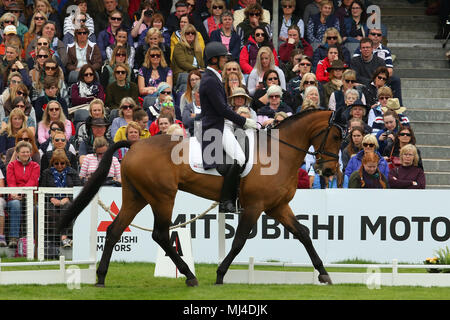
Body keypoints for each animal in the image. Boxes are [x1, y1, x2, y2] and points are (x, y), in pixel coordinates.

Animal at [57, 109, 344, 286]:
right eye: (336, 136)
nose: (330, 171)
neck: (278, 152)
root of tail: (135, 144)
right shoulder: (255, 206)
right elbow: (239, 241)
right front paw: (220, 274)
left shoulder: (277, 206)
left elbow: (304, 233)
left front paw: (324, 274)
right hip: (162, 197)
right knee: (161, 234)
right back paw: (188, 275)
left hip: (137, 196)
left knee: (115, 230)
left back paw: (101, 278)